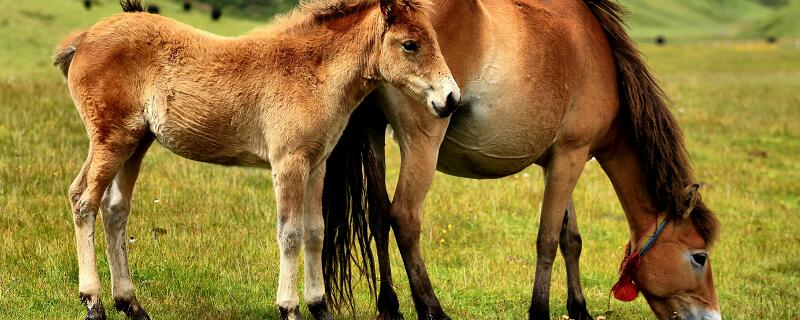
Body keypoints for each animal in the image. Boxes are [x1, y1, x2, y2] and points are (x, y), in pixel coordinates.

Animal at [53, 1, 460, 318]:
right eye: (410, 45)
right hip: (112, 139)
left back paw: (132, 305)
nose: (451, 98)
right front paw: (289, 308)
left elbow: (315, 231)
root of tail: (82, 39)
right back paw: (94, 303)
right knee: (83, 199)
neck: (312, 73)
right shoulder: (288, 163)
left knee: (115, 210)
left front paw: (320, 307)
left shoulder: (317, 164)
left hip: (137, 142)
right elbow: (290, 233)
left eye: (434, 40)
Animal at [322, 0, 720, 320]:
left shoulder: (558, 161)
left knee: (378, 217)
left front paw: (579, 307)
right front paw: (540, 310)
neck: (601, 61)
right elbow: (548, 239)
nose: (713, 316)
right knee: (404, 216)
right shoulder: (572, 157)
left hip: (373, 133)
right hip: (422, 142)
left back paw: (389, 305)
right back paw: (431, 308)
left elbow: (570, 239)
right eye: (699, 257)